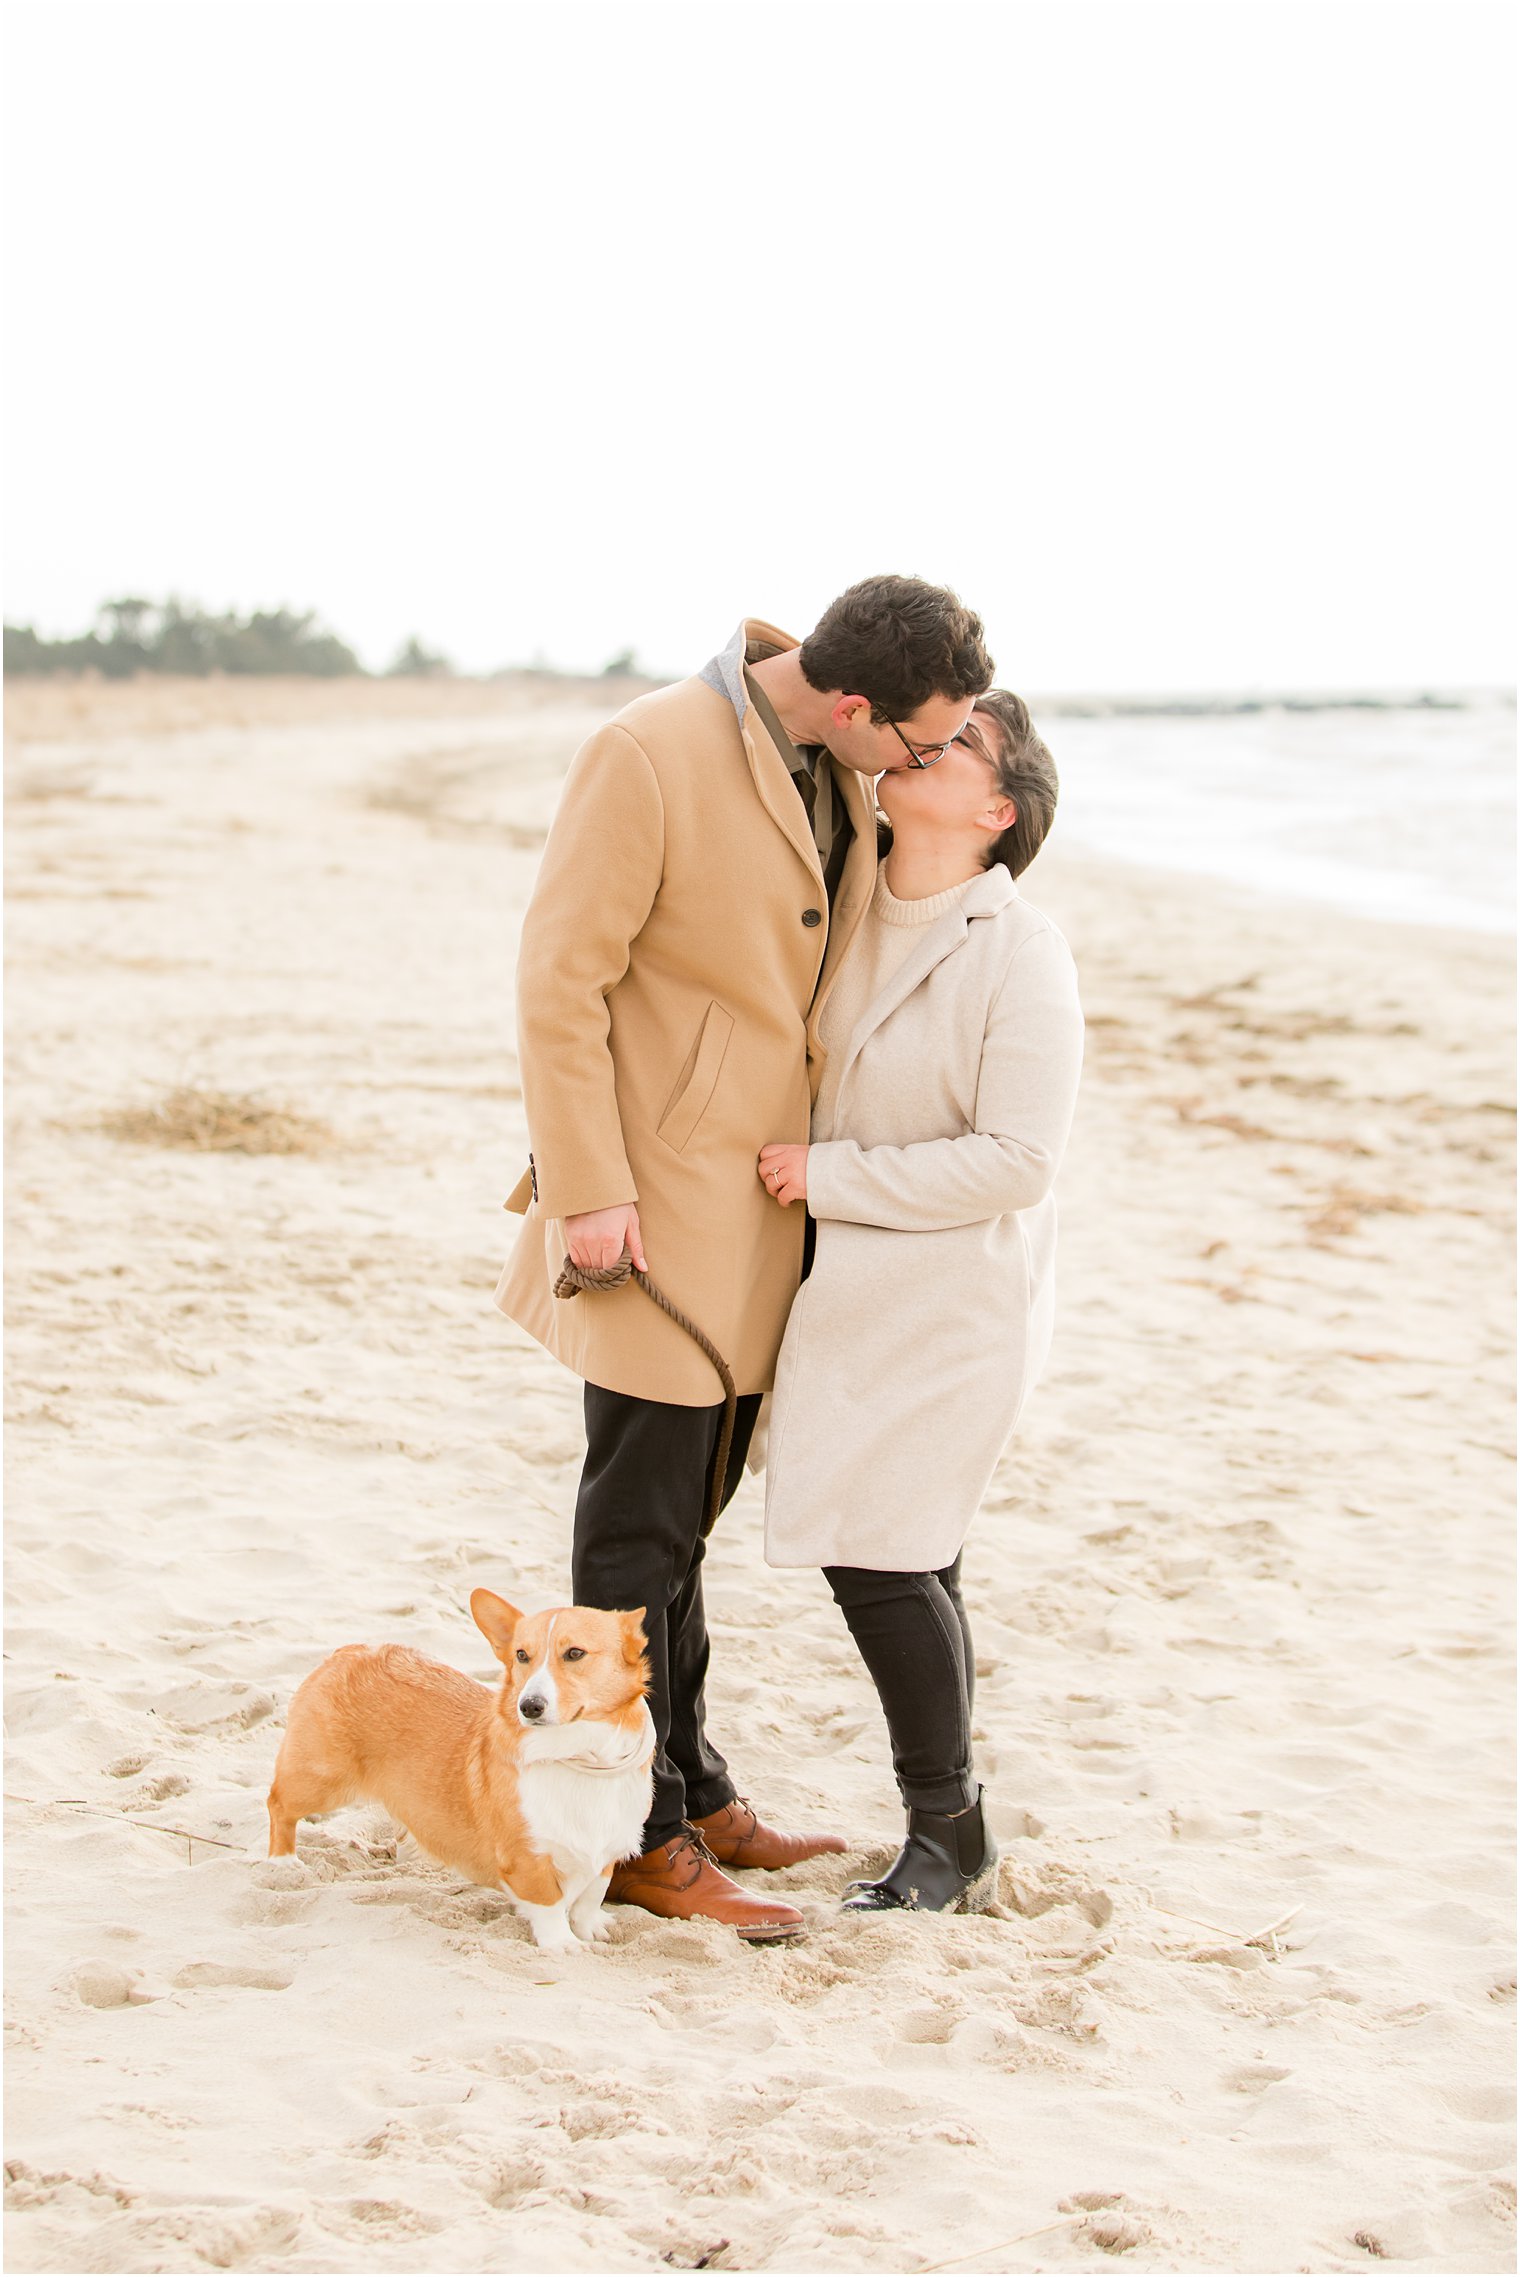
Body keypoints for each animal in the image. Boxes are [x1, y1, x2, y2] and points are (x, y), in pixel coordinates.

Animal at [267, 1593, 655, 1949]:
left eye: (574, 1653)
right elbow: (549, 1903)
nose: (528, 1706)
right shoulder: (525, 1859)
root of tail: (350, 1651)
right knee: (278, 1805)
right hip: (321, 1780)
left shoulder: (606, 1851)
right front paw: (563, 1945)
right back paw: (283, 1863)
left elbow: (592, 1894)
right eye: (521, 1655)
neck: (577, 1753)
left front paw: (592, 1928)